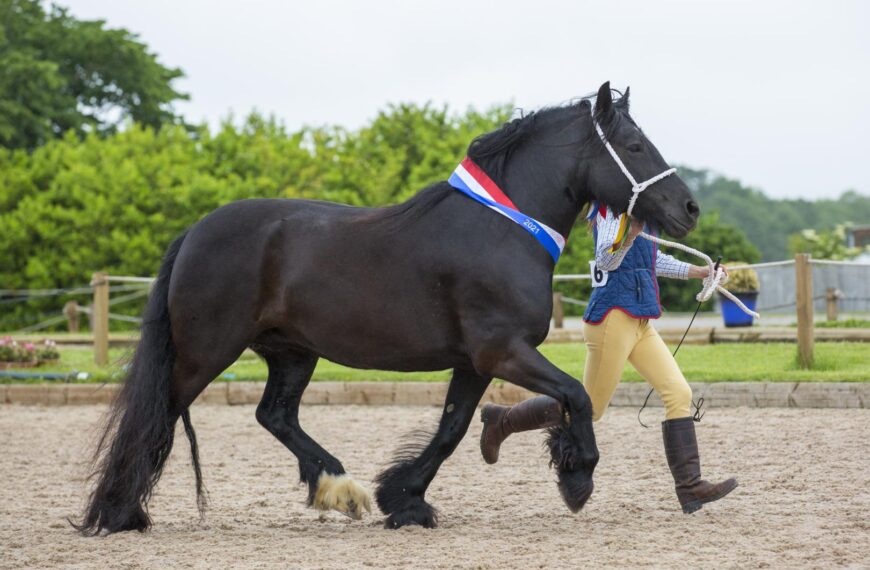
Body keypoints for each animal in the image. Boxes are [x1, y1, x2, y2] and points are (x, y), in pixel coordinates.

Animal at [73, 82, 700, 534]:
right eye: (635, 145)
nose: (689, 209)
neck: (501, 228)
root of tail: (194, 233)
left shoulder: (473, 362)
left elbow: (452, 429)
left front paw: (404, 499)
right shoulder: (502, 351)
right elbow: (574, 395)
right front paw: (577, 478)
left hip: (291, 353)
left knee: (275, 415)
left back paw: (340, 490)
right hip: (206, 353)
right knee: (157, 416)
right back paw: (121, 514)